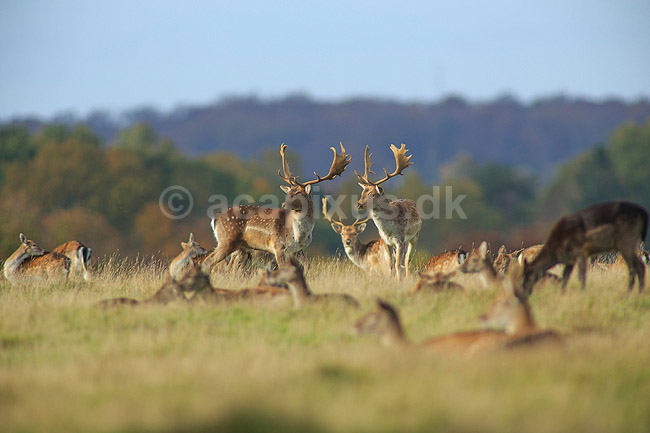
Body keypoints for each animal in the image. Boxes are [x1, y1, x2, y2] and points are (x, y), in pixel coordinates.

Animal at [206, 143, 350, 273]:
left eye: (299, 192)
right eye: (289, 192)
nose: (284, 204)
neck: (299, 235)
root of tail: (215, 219)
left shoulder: (298, 250)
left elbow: (307, 266)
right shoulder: (279, 246)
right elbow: (284, 268)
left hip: (241, 248)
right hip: (227, 240)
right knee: (209, 261)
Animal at [356, 144, 422, 279]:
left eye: (373, 194)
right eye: (362, 192)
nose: (359, 204)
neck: (389, 231)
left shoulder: (400, 240)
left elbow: (397, 265)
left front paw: (398, 281)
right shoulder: (386, 242)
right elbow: (390, 265)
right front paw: (391, 279)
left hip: (414, 237)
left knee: (407, 260)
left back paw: (407, 277)